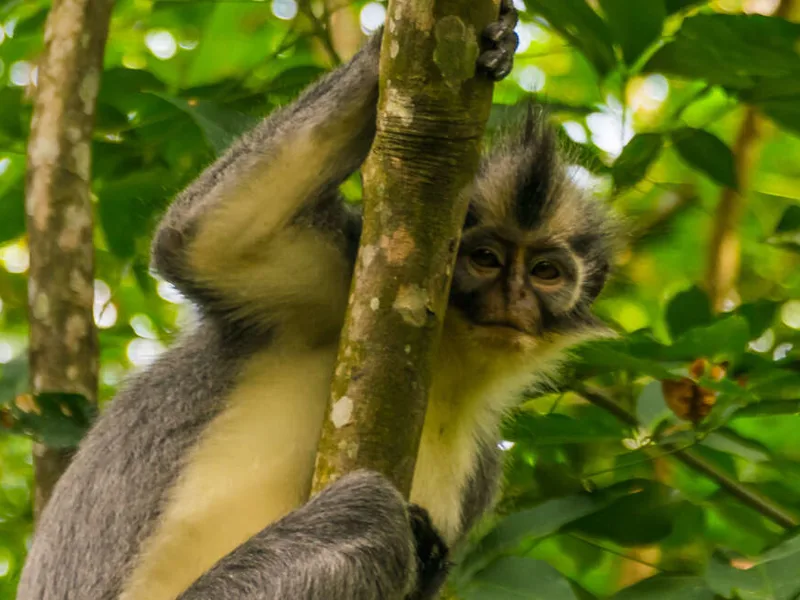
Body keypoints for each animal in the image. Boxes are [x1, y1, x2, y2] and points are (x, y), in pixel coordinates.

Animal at [18, 3, 616, 599]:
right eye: (486, 259)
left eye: (544, 272)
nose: (511, 297)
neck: (443, 359)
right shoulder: (334, 277)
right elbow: (201, 238)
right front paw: (406, 48)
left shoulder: (481, 468)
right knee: (370, 512)